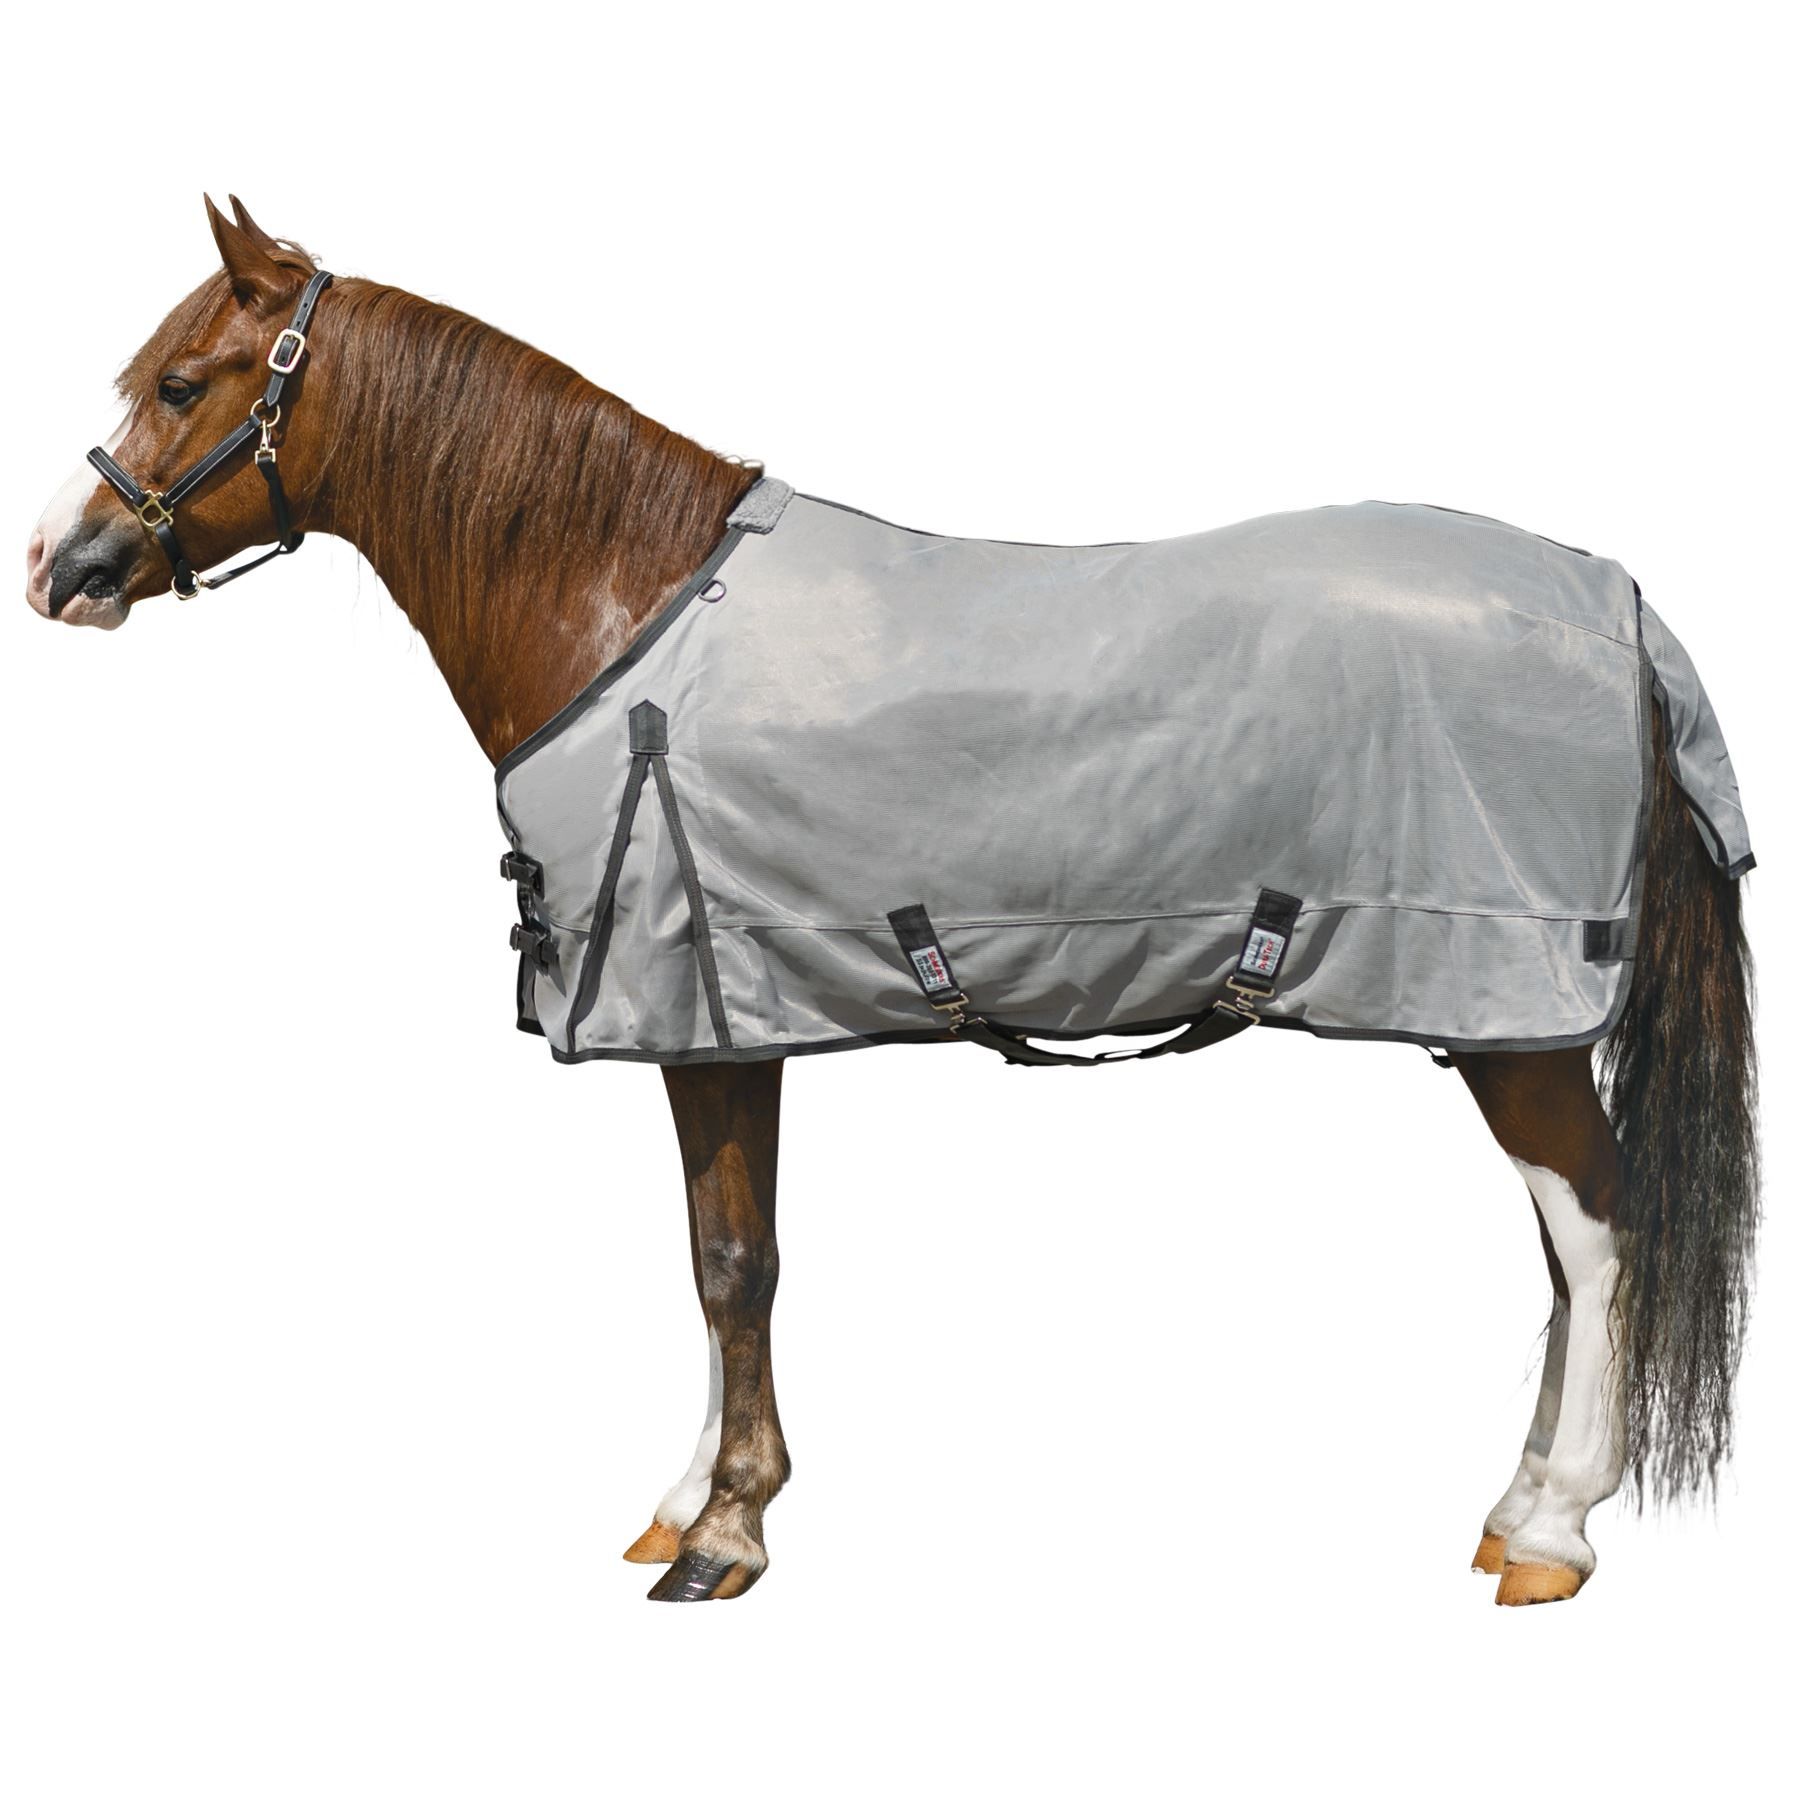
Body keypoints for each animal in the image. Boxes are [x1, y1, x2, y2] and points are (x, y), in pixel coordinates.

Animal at [26, 197, 1759, 1605]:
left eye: (181, 385)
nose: (57, 563)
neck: (623, 601)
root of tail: (1615, 603)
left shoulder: (703, 1015)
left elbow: (737, 1264)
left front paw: (727, 1535)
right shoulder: (728, 1024)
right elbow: (718, 1256)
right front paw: (690, 1503)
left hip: (1514, 1014)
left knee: (1599, 1235)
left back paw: (1552, 1533)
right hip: (1496, 1028)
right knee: (1565, 1246)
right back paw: (1519, 1507)